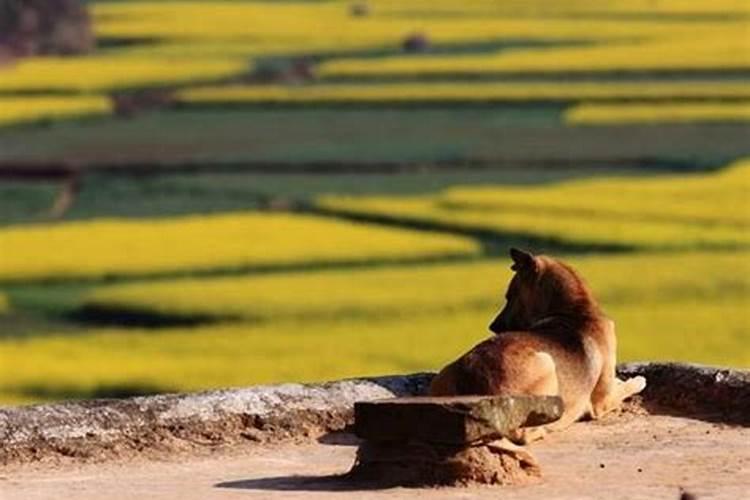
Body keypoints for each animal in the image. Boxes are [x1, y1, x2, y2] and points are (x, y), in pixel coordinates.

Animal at [432, 250, 648, 460]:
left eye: (509, 296)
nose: (492, 327)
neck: (575, 312)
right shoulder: (603, 401)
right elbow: (630, 385)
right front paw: (636, 380)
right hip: (546, 363)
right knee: (523, 434)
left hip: (445, 373)